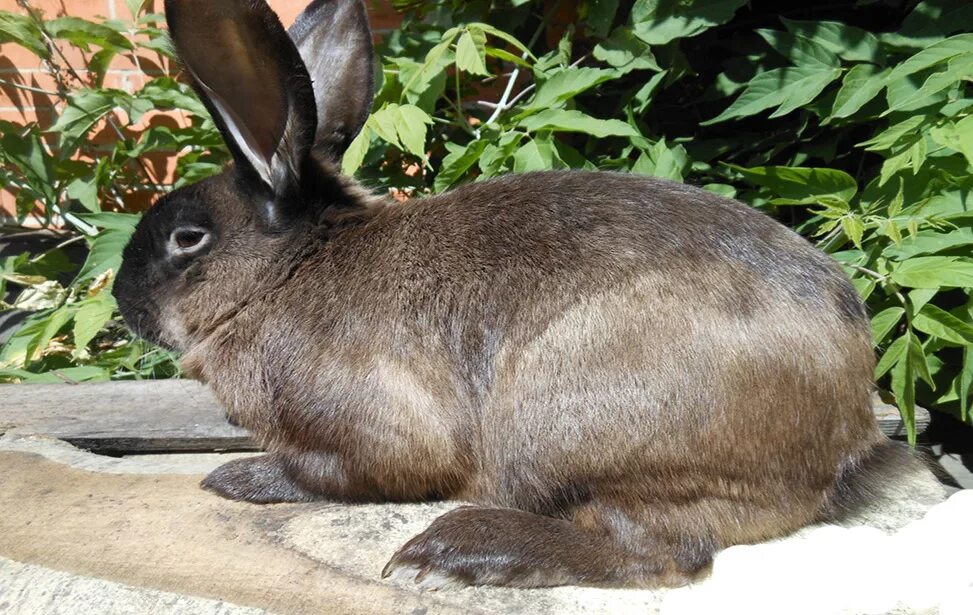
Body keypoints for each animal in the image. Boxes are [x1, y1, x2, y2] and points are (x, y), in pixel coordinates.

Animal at [117, 0, 916, 592]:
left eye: (187, 238)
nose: (124, 301)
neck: (282, 274)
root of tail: (848, 430)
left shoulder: (376, 433)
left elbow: (332, 471)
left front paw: (236, 477)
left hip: (555, 428)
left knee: (660, 551)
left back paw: (456, 552)